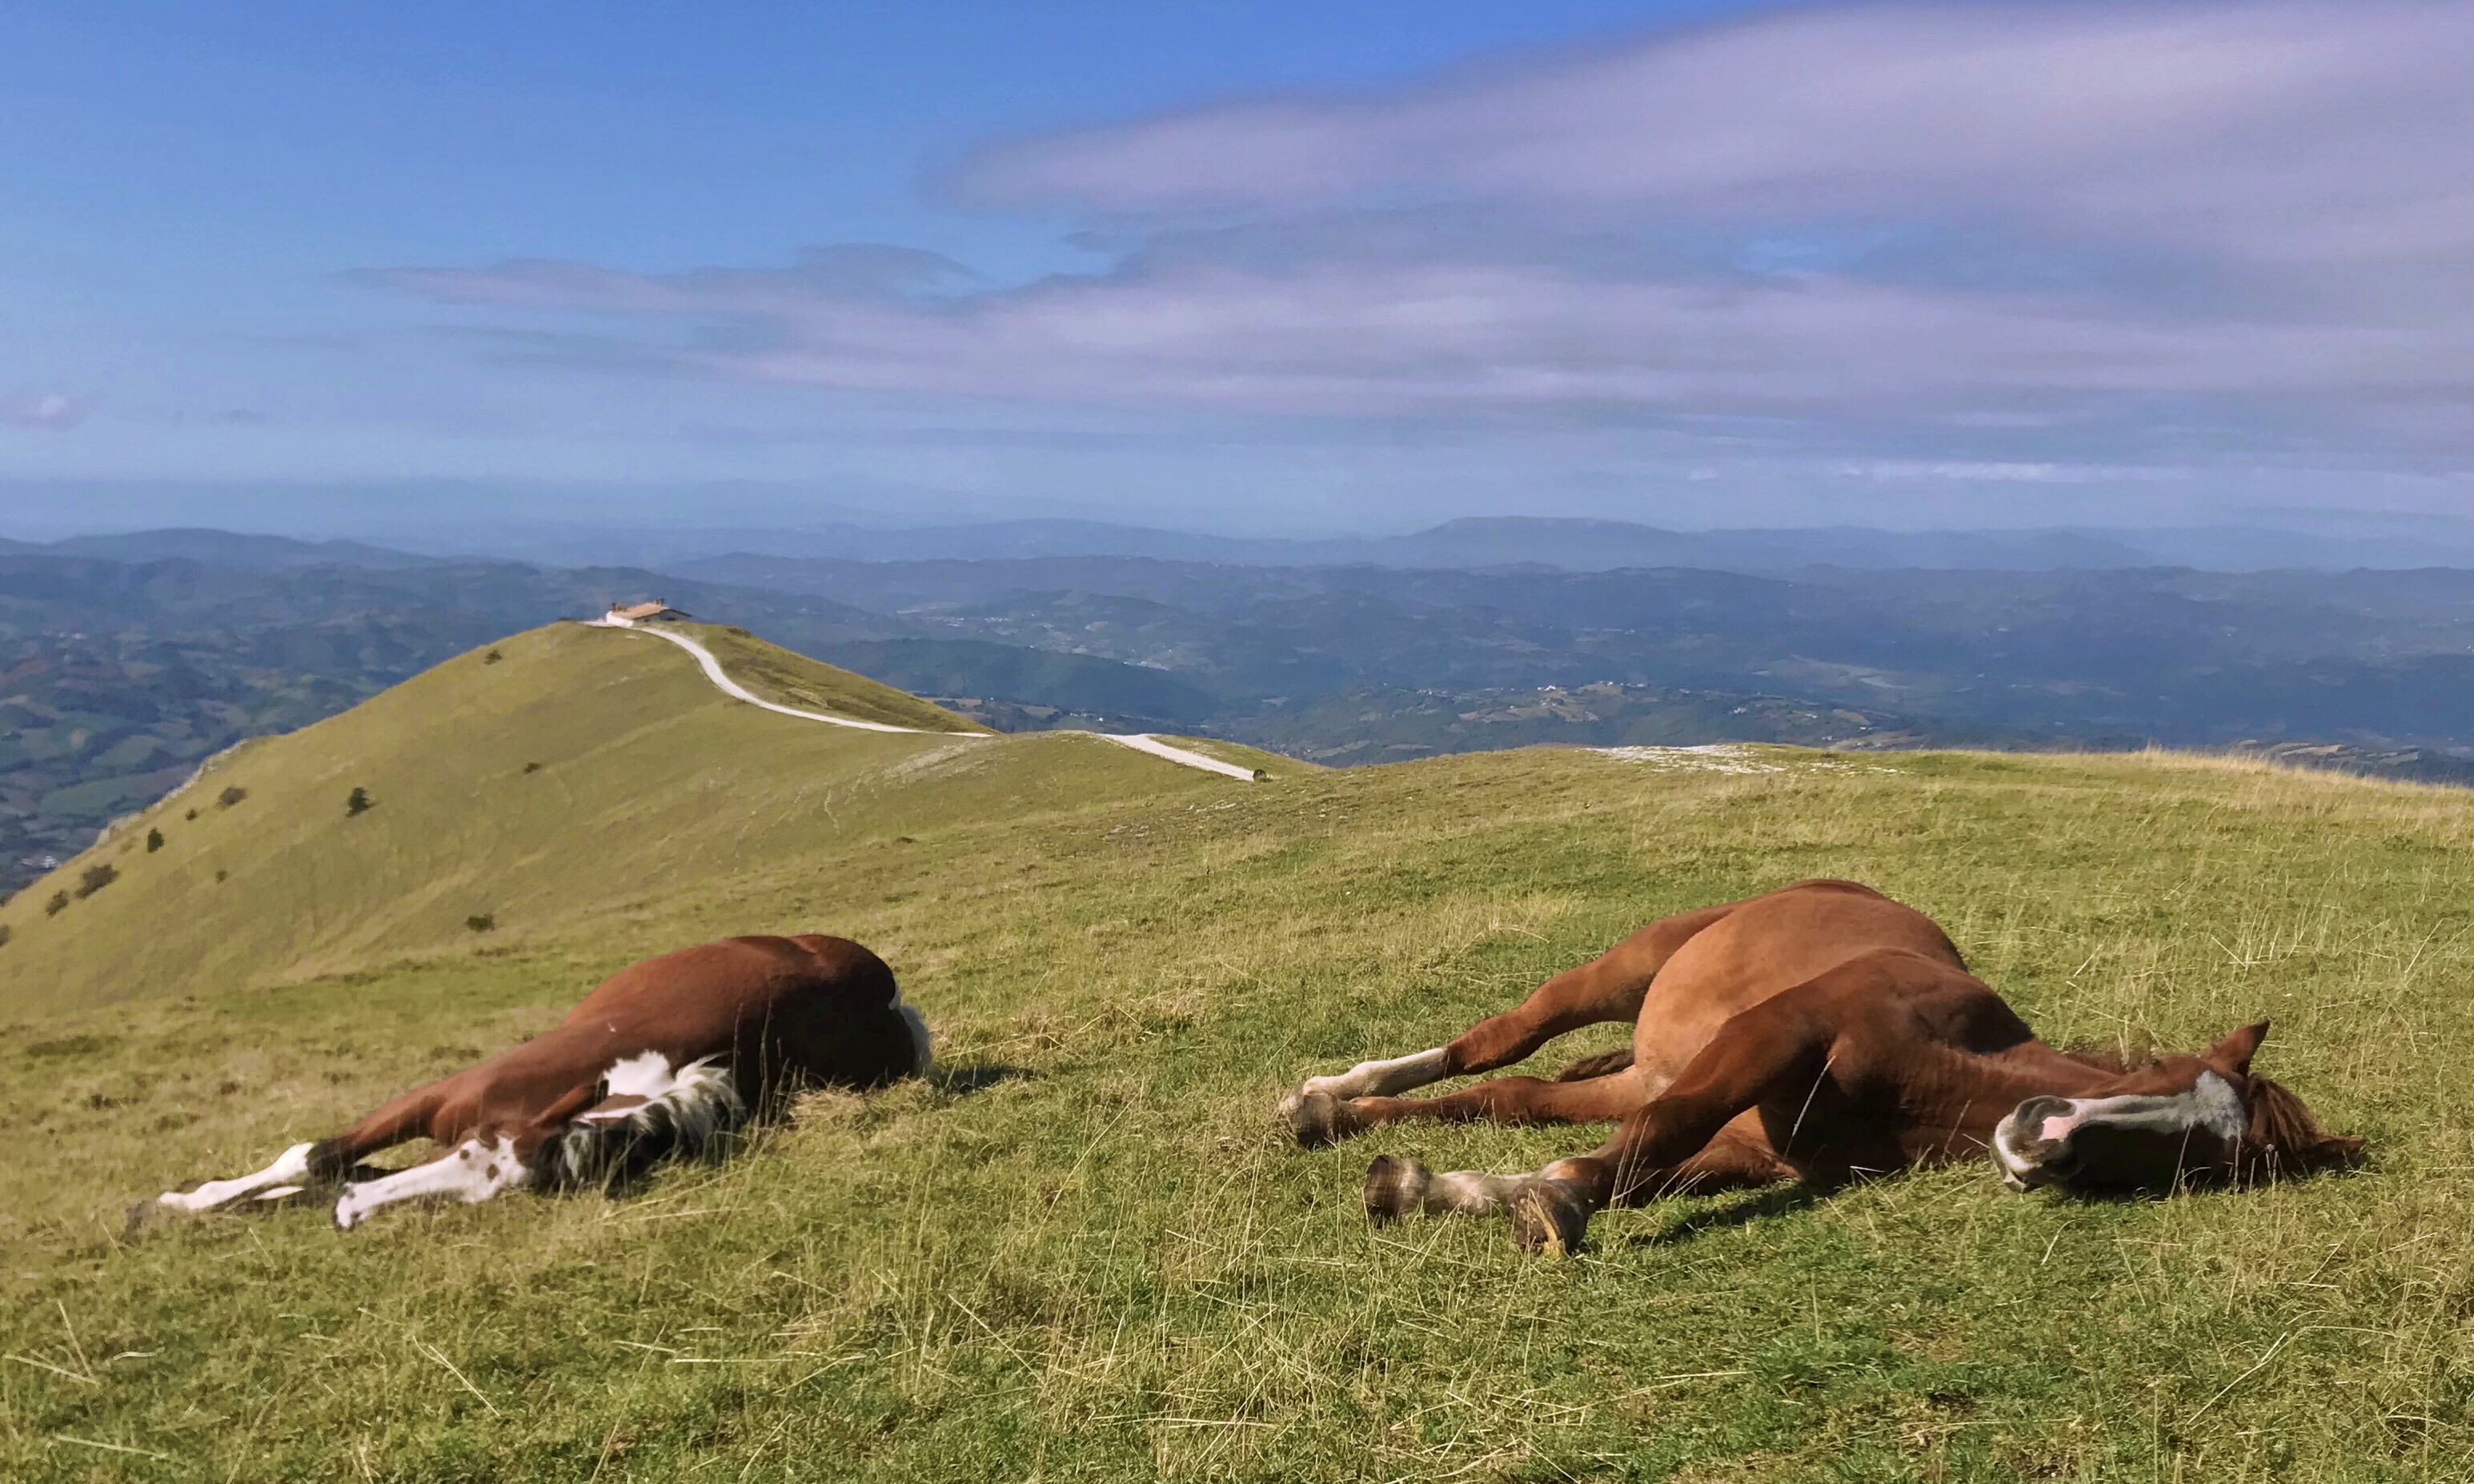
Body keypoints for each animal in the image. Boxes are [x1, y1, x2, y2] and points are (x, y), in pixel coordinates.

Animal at [146, 940, 935, 1226]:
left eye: (497, 1192)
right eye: (474, 1150)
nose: (353, 1216)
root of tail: (882, 992)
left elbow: (332, 1170)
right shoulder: (440, 1096)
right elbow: (317, 1156)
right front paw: (182, 1203)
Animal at [1286, 880, 2364, 1251]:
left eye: (2182, 1165)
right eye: (2156, 1086)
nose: (2042, 1142)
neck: (1943, 1081)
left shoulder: (1759, 1154)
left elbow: (1630, 1169)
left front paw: (1442, 1190)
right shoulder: (1785, 1033)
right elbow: (1649, 1145)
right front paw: (1548, 1206)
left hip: (1641, 1064)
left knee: (1514, 1094)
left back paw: (1346, 1122)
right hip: (1628, 972)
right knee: (1501, 1042)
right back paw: (1336, 1092)